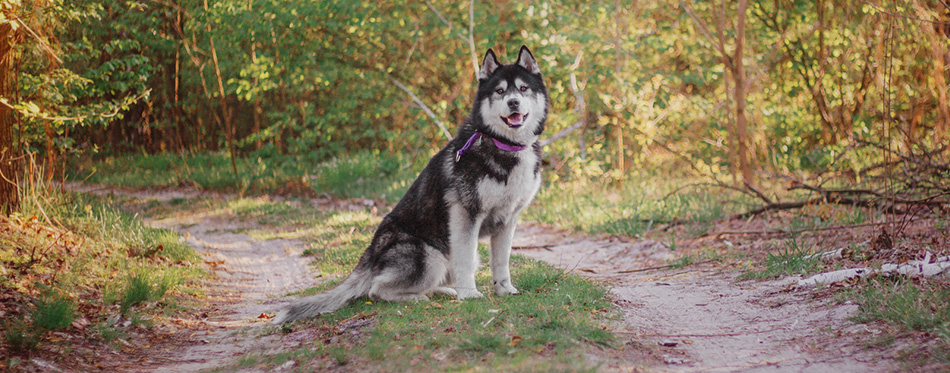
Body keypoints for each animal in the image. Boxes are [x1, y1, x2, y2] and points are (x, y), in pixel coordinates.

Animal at [276, 45, 548, 322]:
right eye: (500, 91)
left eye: (523, 88)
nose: (513, 102)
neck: (503, 145)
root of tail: (370, 255)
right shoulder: (466, 214)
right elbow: (464, 261)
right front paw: (469, 294)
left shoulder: (509, 219)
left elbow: (501, 262)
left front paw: (504, 289)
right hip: (431, 257)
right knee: (376, 290)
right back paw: (418, 297)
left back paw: (442, 291)